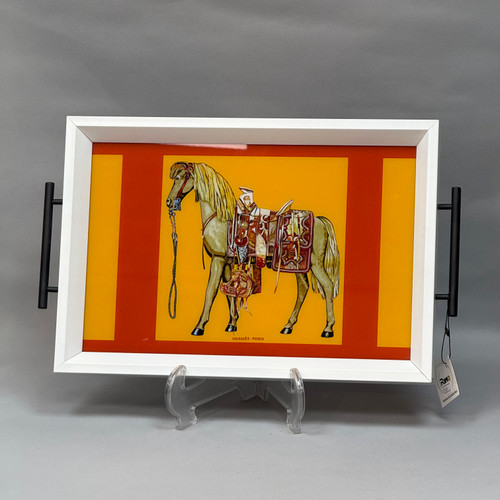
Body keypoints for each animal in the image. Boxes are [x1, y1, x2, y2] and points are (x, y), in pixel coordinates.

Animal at [166, 161, 340, 338]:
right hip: (299, 266)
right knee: (303, 289)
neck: (219, 218)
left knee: (328, 286)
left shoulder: (218, 259)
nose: (169, 202)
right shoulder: (227, 261)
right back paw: (288, 326)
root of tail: (319, 220)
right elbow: (229, 291)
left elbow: (210, 291)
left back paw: (328, 328)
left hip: (315, 264)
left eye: (178, 178)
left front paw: (199, 326)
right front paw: (232, 324)